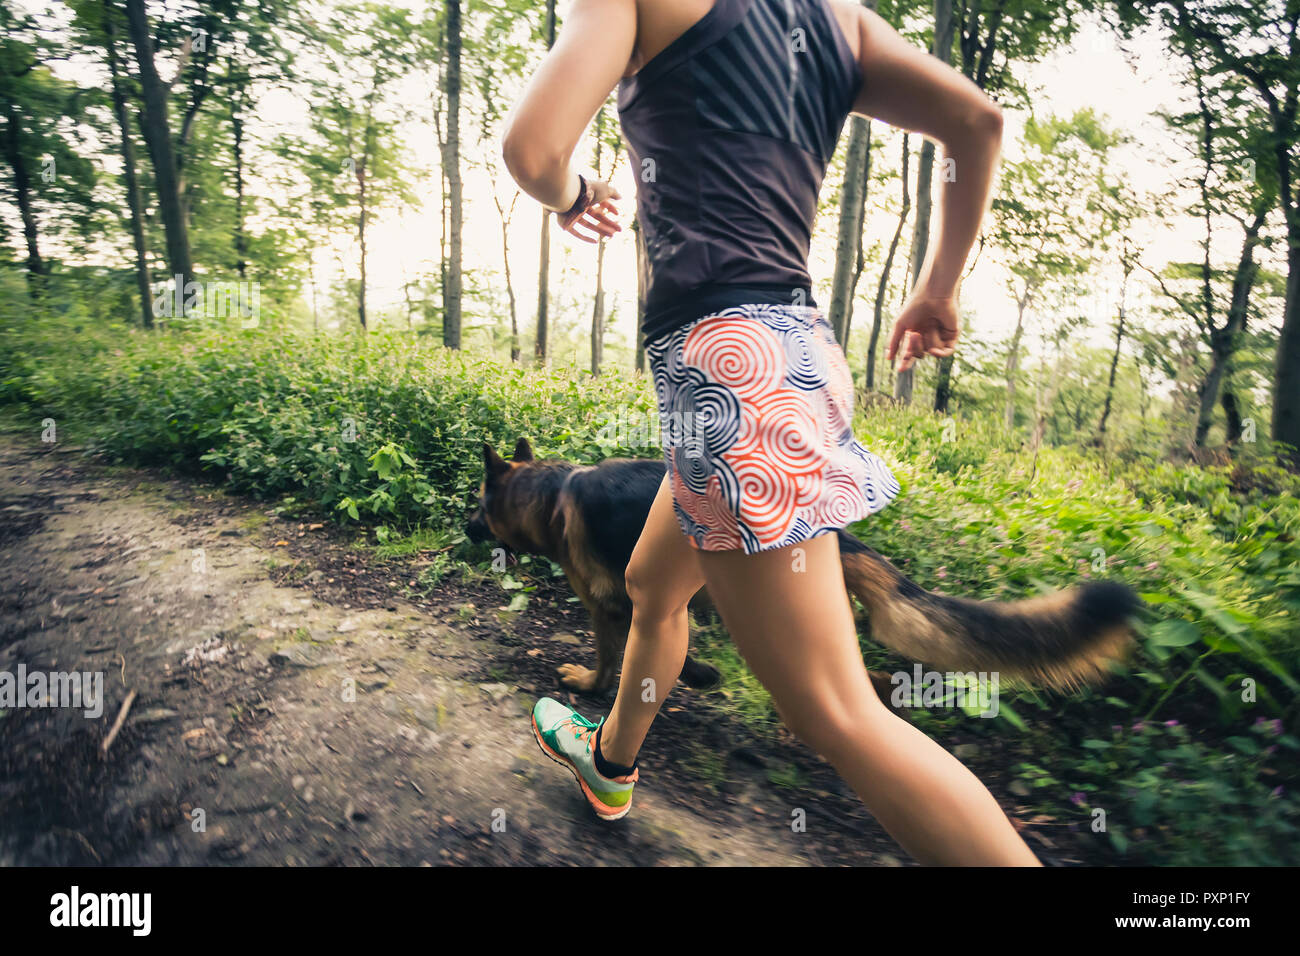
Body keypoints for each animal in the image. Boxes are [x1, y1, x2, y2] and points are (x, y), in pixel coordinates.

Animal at [467, 439, 1138, 697]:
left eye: (478, 504)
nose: (466, 530)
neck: (550, 494)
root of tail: (836, 537)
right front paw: (698, 674)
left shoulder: (615, 604)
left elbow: (612, 659)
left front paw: (591, 686)